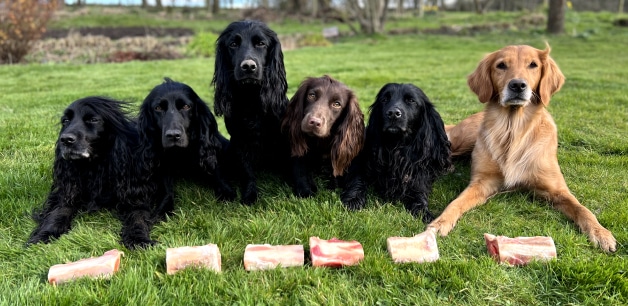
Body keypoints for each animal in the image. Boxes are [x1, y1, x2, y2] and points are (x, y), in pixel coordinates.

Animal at [28, 97, 157, 250]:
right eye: (65, 120)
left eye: (93, 120)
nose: (65, 140)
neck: (95, 165)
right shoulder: (67, 191)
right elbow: (58, 212)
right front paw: (44, 234)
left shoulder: (136, 194)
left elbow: (138, 217)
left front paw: (138, 239)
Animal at [138, 77, 236, 216]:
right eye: (158, 108)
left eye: (186, 106)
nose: (173, 135)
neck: (181, 153)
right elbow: (166, 189)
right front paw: (164, 207)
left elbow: (217, 172)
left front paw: (226, 192)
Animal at [211, 20, 290, 204]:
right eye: (233, 44)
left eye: (261, 43)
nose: (248, 67)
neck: (251, 99)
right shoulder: (240, 140)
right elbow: (246, 171)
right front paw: (249, 195)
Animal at [344, 83, 452, 222]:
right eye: (384, 99)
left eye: (411, 100)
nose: (393, 114)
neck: (396, 146)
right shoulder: (362, 164)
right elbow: (357, 181)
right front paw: (353, 200)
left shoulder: (419, 175)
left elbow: (419, 194)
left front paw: (423, 212)